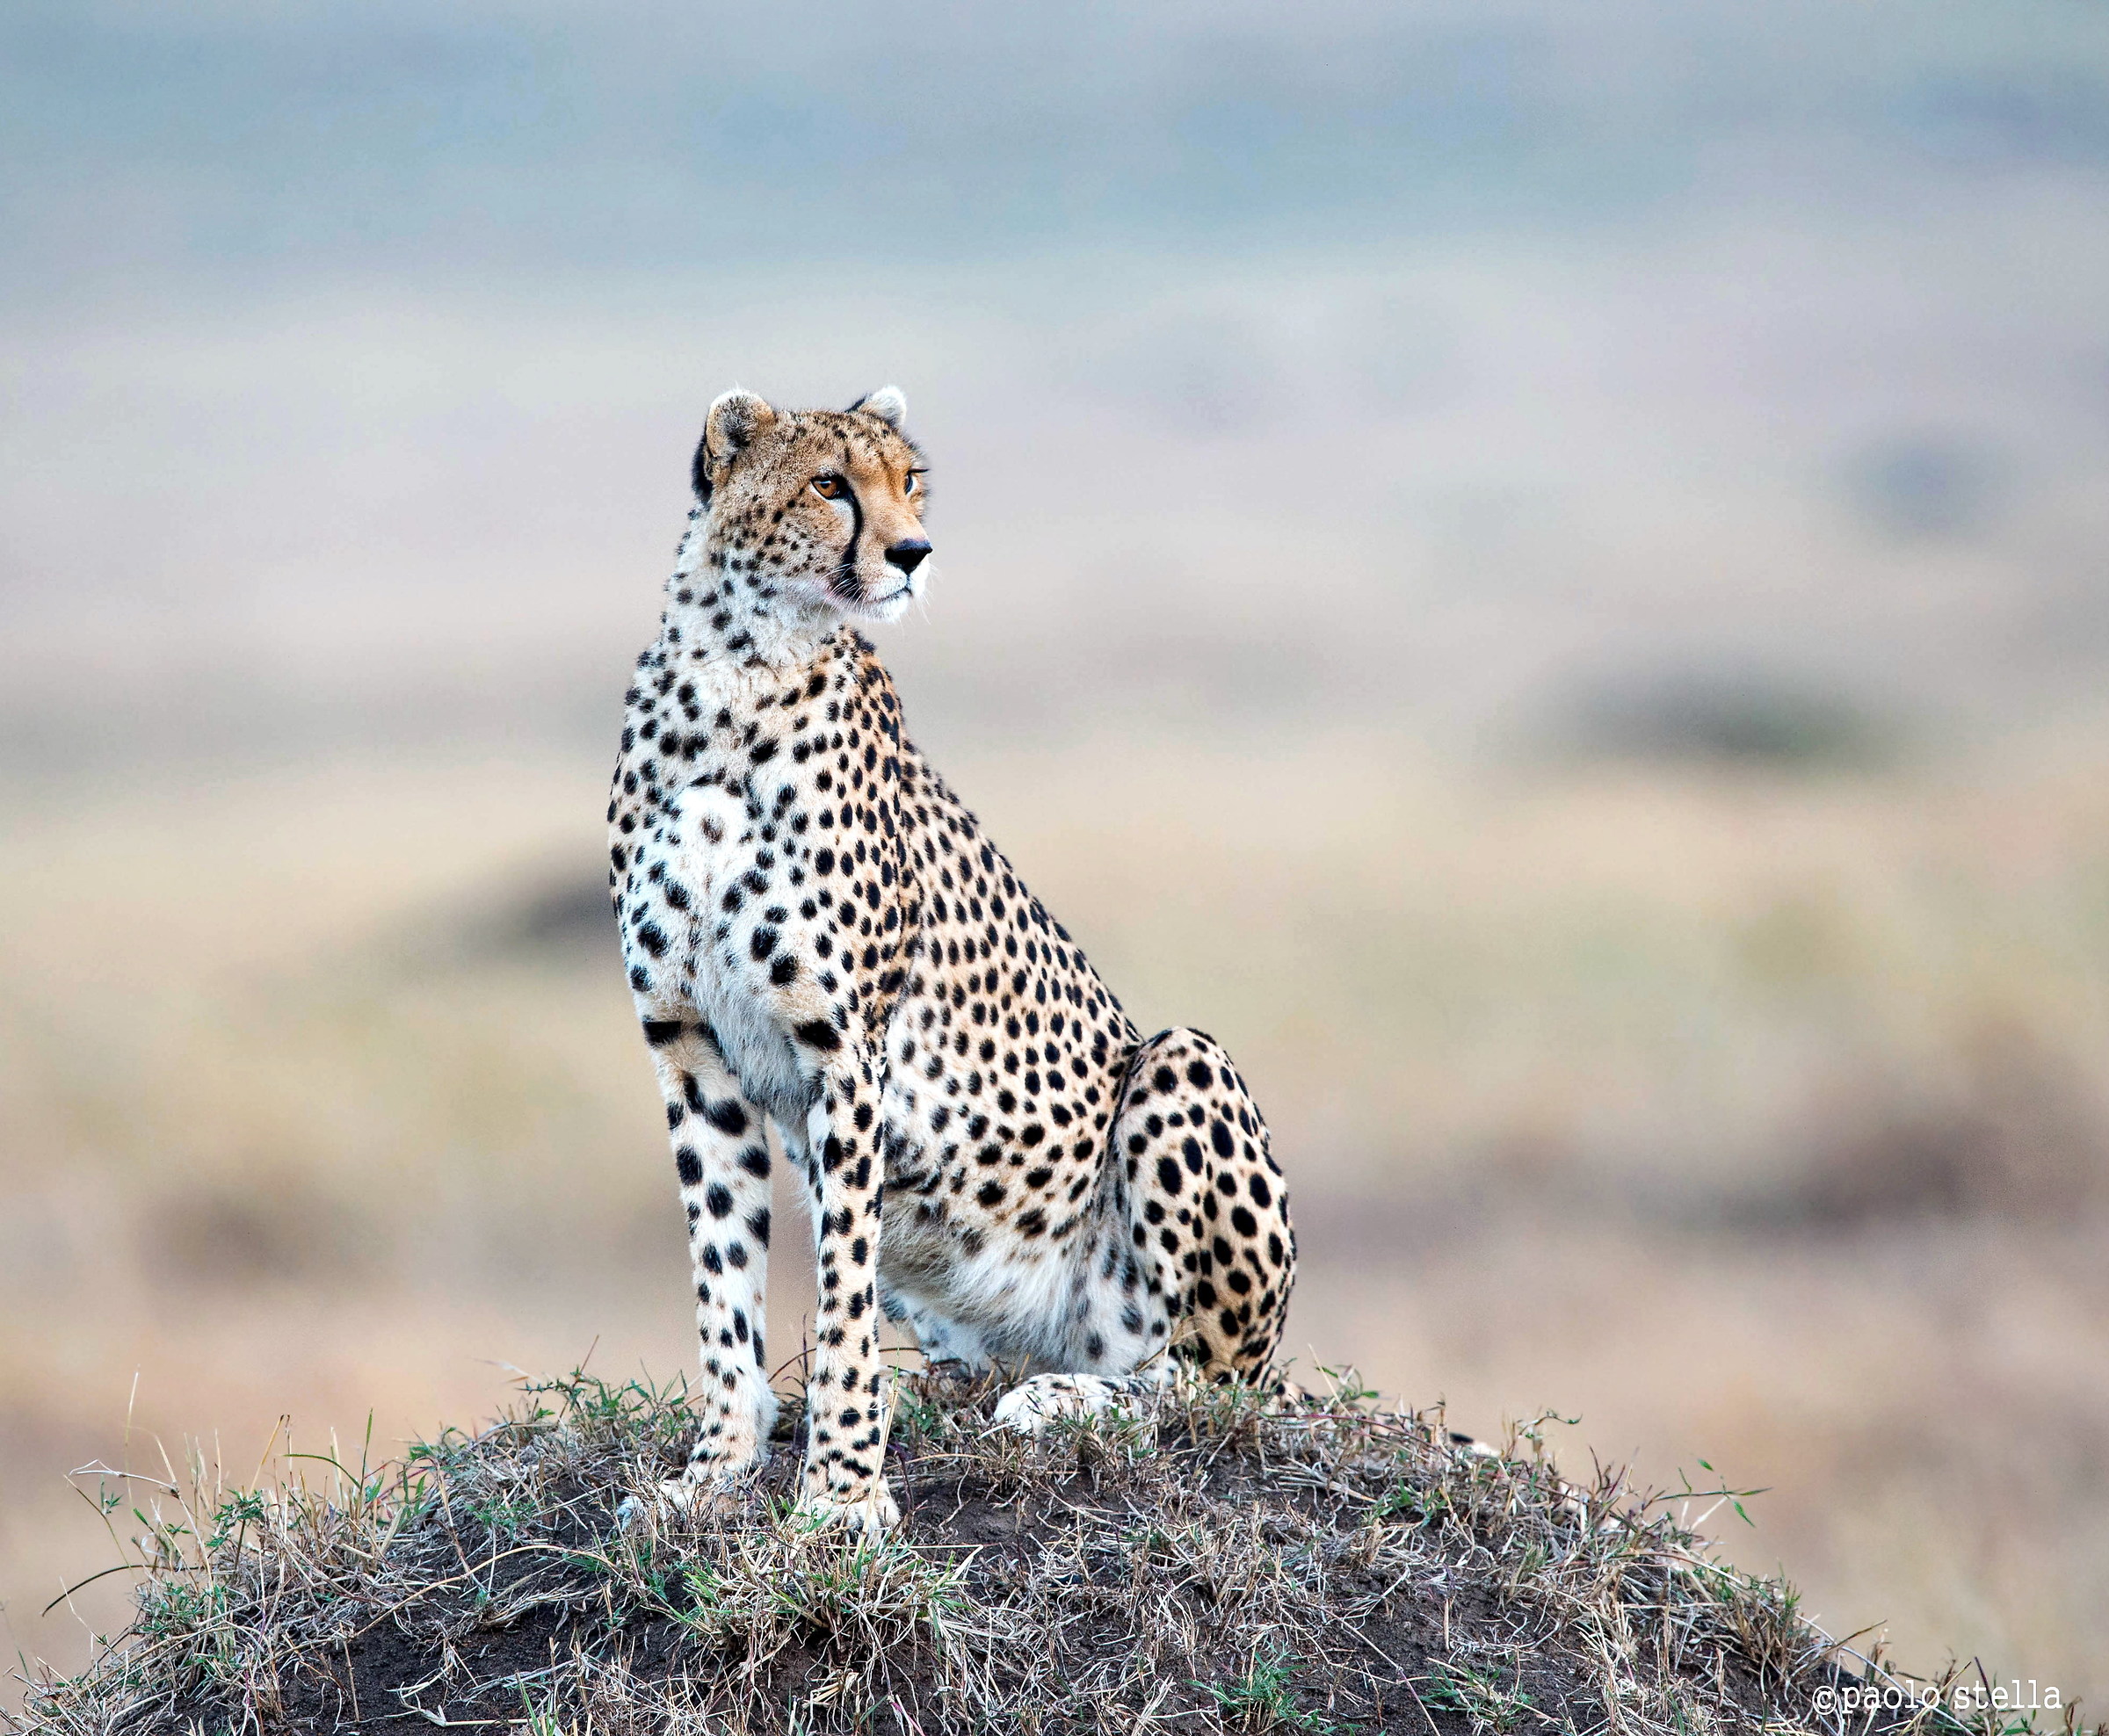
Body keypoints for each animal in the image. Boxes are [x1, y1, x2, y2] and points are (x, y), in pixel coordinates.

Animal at [607, 384, 1296, 1532]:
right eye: (829, 485)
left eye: (910, 482)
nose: (914, 551)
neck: (740, 670)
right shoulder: (690, 1048)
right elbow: (723, 1277)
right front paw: (716, 1466)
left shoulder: (845, 1056)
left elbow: (838, 1292)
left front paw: (843, 1490)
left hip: (1182, 1070)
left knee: (1198, 1380)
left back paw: (1063, 1397)